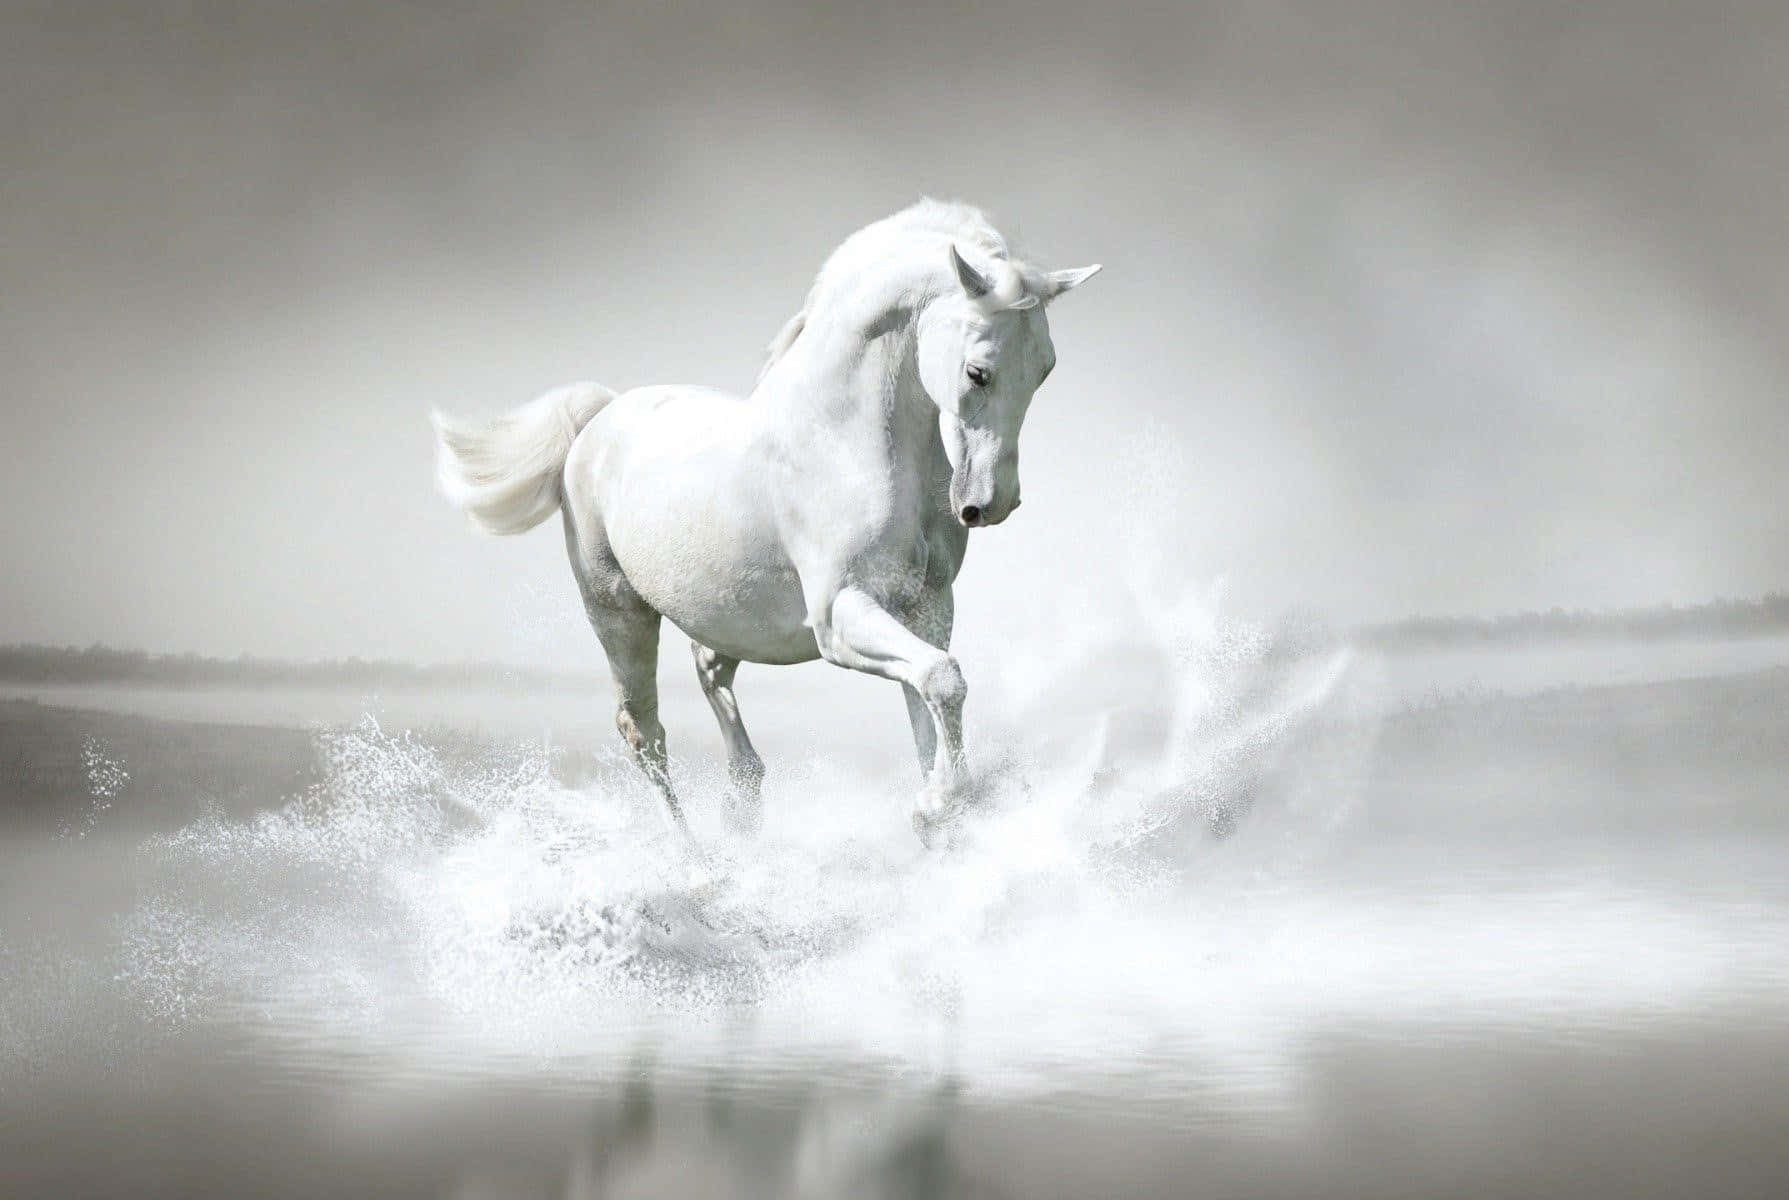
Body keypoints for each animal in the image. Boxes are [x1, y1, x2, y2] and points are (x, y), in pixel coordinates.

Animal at [432, 200, 1099, 847]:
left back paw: (742, 803)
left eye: (1045, 369)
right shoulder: (839, 615)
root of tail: (599, 419)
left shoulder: (927, 606)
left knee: (708, 671)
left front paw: (940, 814)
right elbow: (942, 679)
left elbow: (929, 701)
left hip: (729, 615)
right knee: (644, 733)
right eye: (977, 372)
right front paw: (936, 808)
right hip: (617, 612)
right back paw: (697, 860)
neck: (843, 441)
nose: (991, 503)